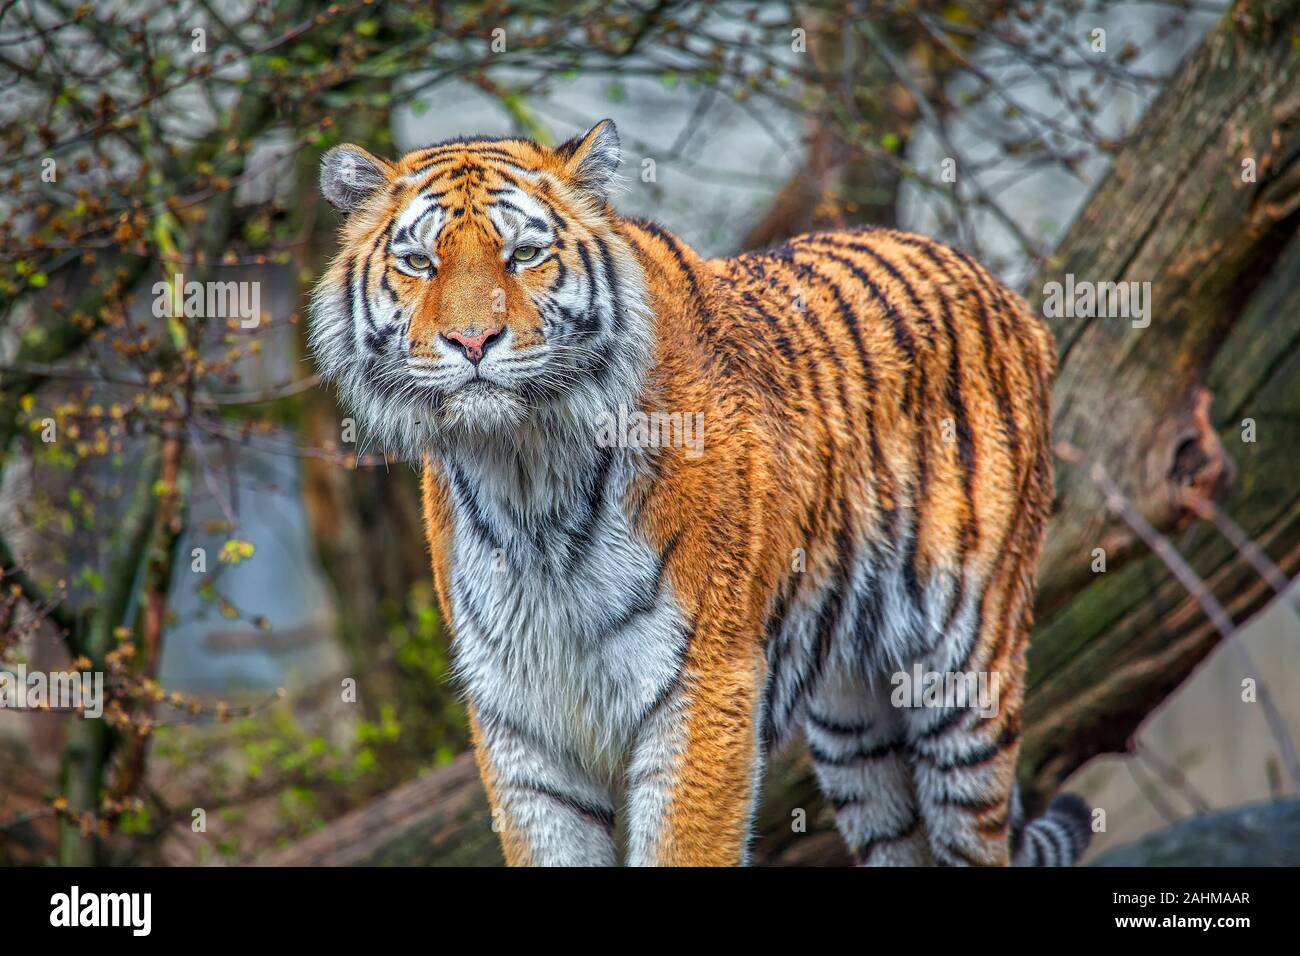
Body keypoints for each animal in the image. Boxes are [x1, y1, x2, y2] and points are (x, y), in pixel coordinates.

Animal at [309, 119, 1092, 867]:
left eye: (524, 255)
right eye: (419, 262)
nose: (473, 341)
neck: (526, 477)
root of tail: (1000, 289)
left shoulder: (703, 686)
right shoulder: (521, 723)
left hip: (965, 678)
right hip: (855, 728)